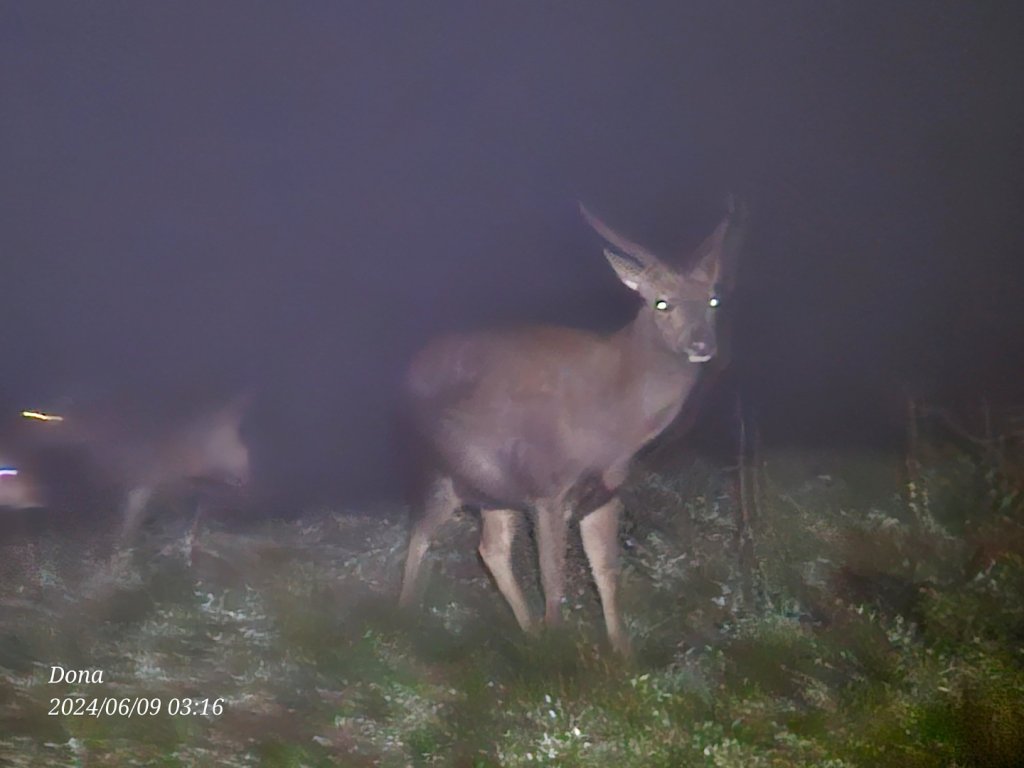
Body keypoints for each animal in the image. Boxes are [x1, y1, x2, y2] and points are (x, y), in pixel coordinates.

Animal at [397, 198, 745, 655]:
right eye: (661, 303)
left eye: (714, 299)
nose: (702, 344)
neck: (617, 423)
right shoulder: (548, 486)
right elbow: (553, 574)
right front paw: (560, 648)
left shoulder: (605, 490)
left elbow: (606, 571)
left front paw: (622, 652)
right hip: (441, 469)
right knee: (421, 533)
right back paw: (403, 618)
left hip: (493, 487)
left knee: (489, 547)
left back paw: (526, 631)